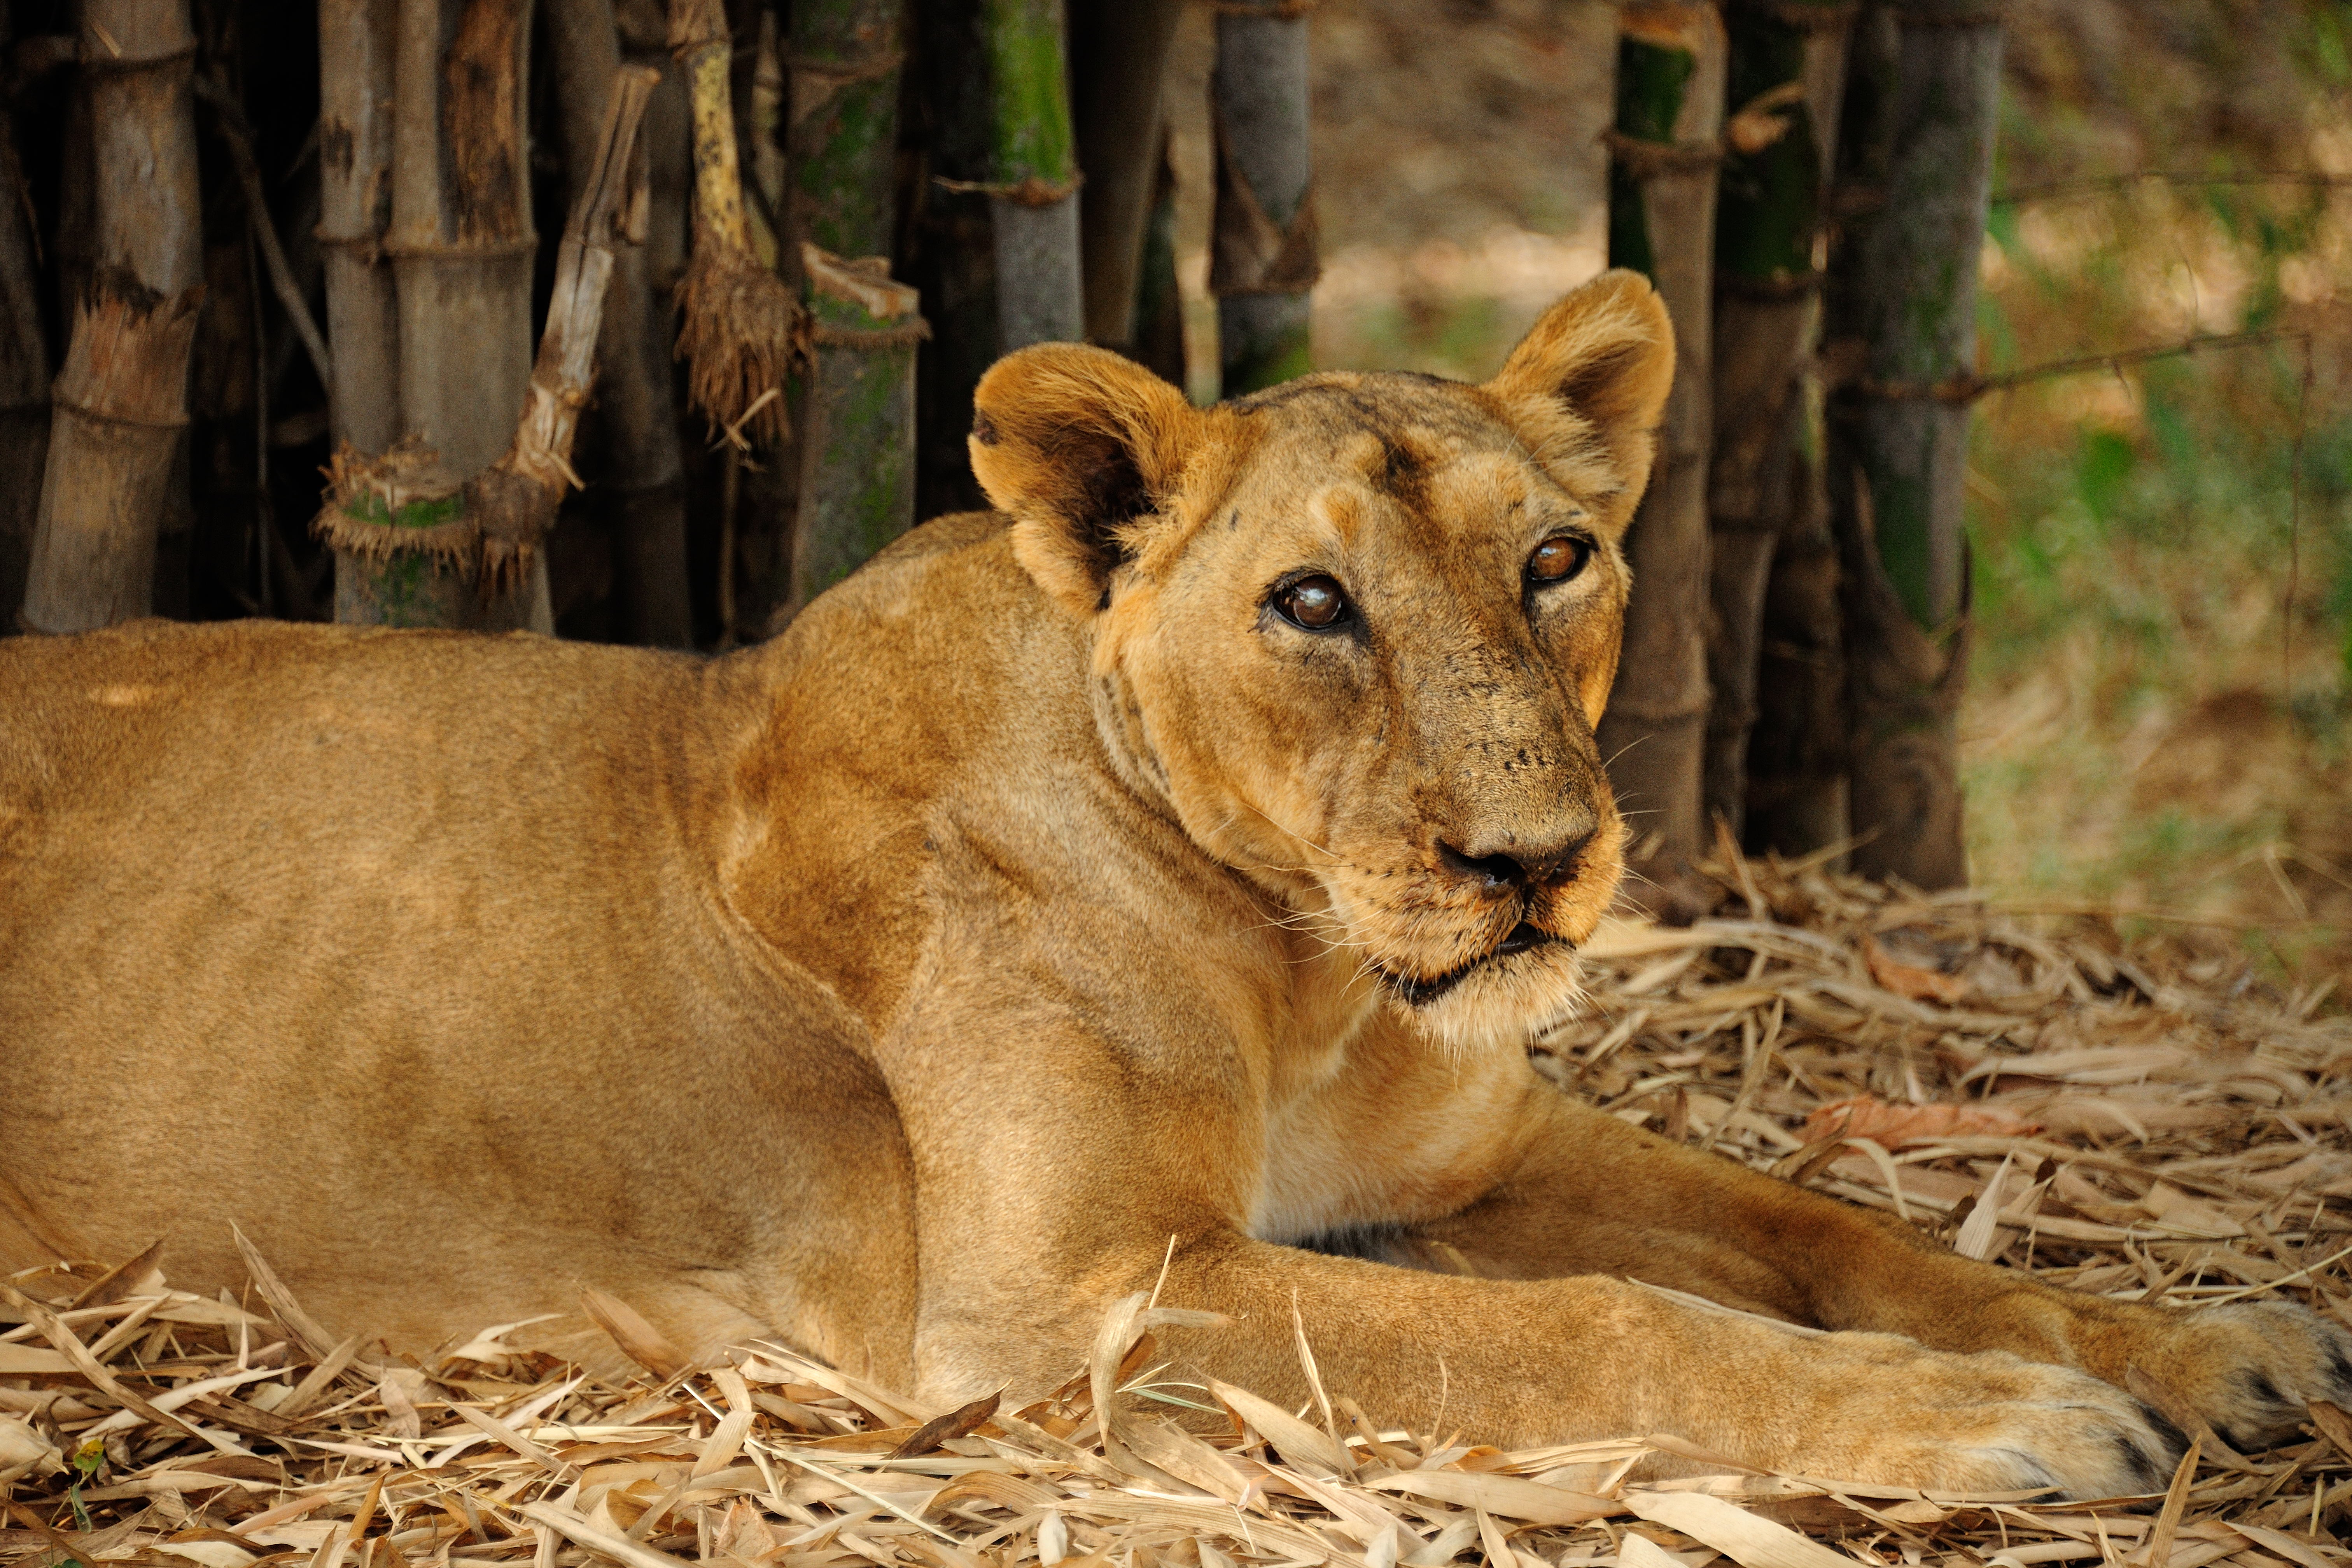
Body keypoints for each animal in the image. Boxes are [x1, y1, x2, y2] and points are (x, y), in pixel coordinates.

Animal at [3, 272, 2345, 1497]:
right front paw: (2007, 1425)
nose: (1537, 864)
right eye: (1313, 602)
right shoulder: (1066, 1307)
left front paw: (2191, 1343)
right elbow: (1603, 1330)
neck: (1307, 969)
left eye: (1556, 559)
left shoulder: (1481, 1153)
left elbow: (1831, 1233)